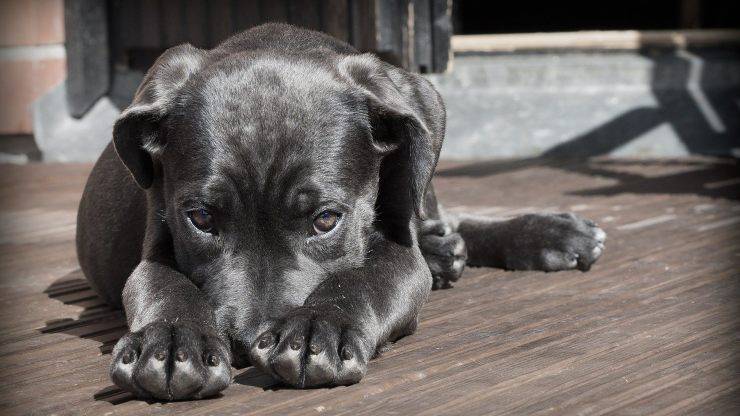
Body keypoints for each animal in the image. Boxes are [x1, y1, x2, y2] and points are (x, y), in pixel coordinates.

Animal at [76, 23, 608, 400]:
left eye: (326, 220)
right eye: (202, 219)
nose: (247, 343)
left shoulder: (399, 251)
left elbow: (364, 278)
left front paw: (319, 327)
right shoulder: (157, 240)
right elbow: (163, 284)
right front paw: (170, 342)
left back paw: (546, 234)